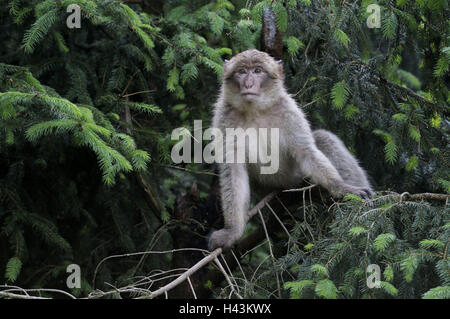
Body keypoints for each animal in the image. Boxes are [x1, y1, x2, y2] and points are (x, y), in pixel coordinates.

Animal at [209, 50, 374, 251]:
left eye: (257, 70)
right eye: (241, 71)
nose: (248, 83)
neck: (254, 110)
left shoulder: (289, 111)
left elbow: (305, 151)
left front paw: (343, 188)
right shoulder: (224, 118)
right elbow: (233, 170)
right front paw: (232, 232)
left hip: (297, 177)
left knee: (322, 138)